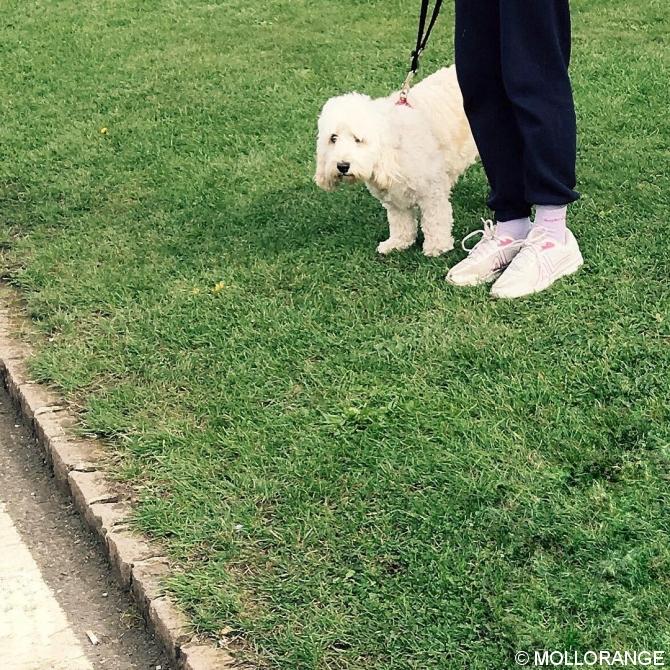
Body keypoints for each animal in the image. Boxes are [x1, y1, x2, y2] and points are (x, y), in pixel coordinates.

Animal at [316, 66, 478, 255]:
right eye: (333, 138)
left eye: (358, 139)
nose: (342, 166)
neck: (393, 147)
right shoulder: (394, 198)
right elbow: (401, 222)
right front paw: (398, 243)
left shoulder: (432, 191)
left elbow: (435, 220)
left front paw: (437, 246)